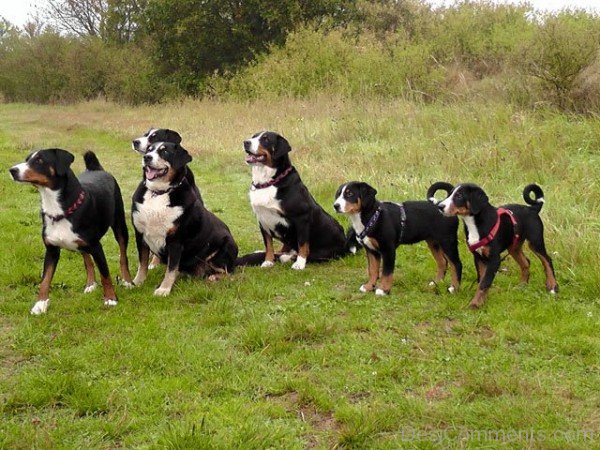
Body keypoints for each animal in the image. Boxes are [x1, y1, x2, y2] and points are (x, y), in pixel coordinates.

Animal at [9, 149, 134, 314]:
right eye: (27, 159)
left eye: (40, 160)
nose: (12, 170)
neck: (58, 211)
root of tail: (95, 169)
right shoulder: (51, 250)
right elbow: (45, 279)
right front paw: (40, 304)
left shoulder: (96, 246)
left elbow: (105, 274)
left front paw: (111, 298)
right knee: (87, 260)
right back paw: (90, 284)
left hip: (119, 225)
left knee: (123, 256)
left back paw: (127, 281)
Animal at [131, 141, 237, 296]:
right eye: (149, 150)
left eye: (165, 152)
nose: (147, 157)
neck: (159, 193)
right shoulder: (140, 235)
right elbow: (142, 263)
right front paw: (136, 283)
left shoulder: (176, 241)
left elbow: (171, 269)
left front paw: (164, 289)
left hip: (225, 246)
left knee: (229, 273)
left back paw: (213, 277)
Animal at [241, 131, 350, 270]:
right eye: (253, 136)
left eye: (266, 139)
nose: (246, 142)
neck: (268, 182)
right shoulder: (262, 220)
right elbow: (269, 244)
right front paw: (268, 261)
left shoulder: (301, 218)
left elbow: (303, 244)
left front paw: (299, 263)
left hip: (324, 252)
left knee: (302, 253)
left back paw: (288, 257)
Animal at [332, 181, 460, 298]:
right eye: (338, 194)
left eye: (350, 194)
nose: (335, 206)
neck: (372, 217)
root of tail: (442, 205)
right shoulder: (371, 250)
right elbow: (372, 270)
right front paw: (369, 287)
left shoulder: (388, 249)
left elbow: (387, 272)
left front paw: (383, 290)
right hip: (433, 242)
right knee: (442, 262)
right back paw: (436, 283)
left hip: (447, 241)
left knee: (456, 264)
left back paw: (454, 288)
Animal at [428, 181, 560, 308]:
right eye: (449, 194)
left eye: (459, 195)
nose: (440, 206)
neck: (474, 224)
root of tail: (532, 208)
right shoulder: (478, 257)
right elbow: (481, 280)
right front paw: (482, 301)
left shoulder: (494, 259)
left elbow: (484, 283)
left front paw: (474, 304)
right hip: (514, 247)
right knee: (526, 262)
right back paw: (522, 285)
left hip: (535, 241)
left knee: (547, 260)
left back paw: (552, 286)